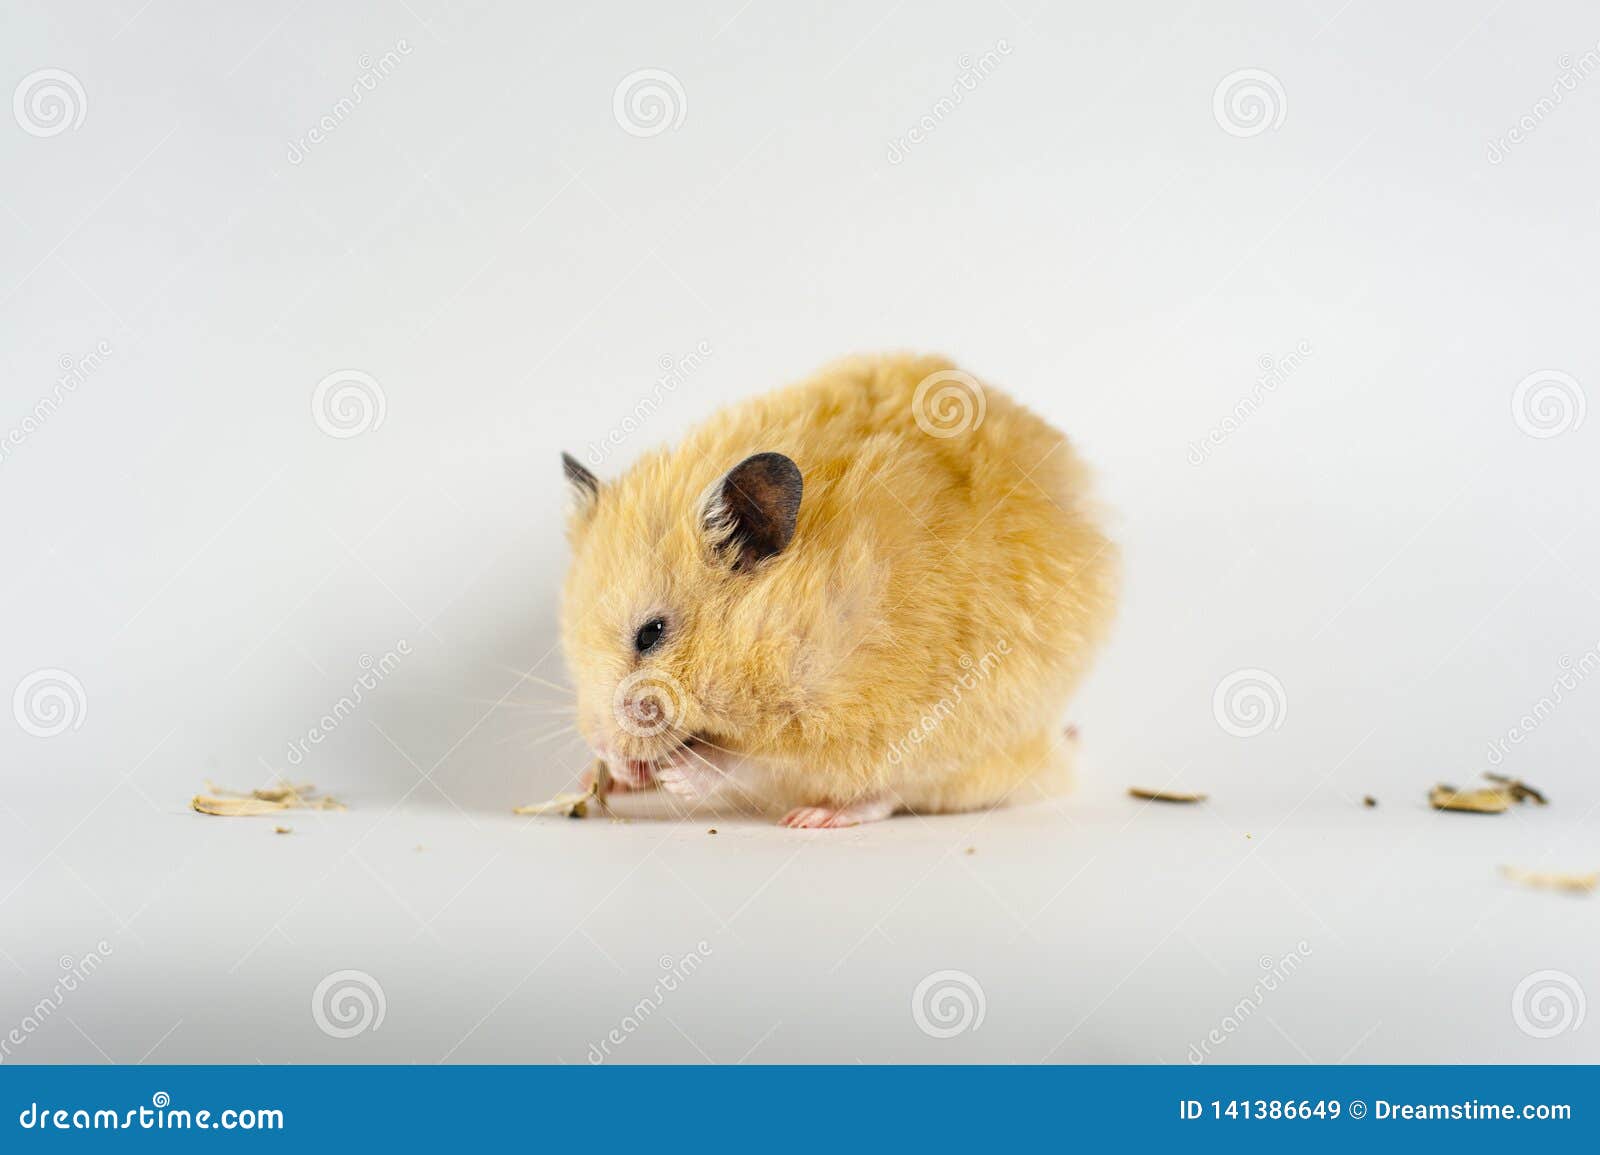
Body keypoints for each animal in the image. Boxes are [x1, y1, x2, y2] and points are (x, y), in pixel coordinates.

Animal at [558, 353, 1118, 827]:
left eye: (651, 633)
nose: (605, 748)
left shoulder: (848, 720)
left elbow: (753, 760)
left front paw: (679, 773)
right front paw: (622, 772)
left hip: (972, 745)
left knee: (890, 794)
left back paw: (818, 817)